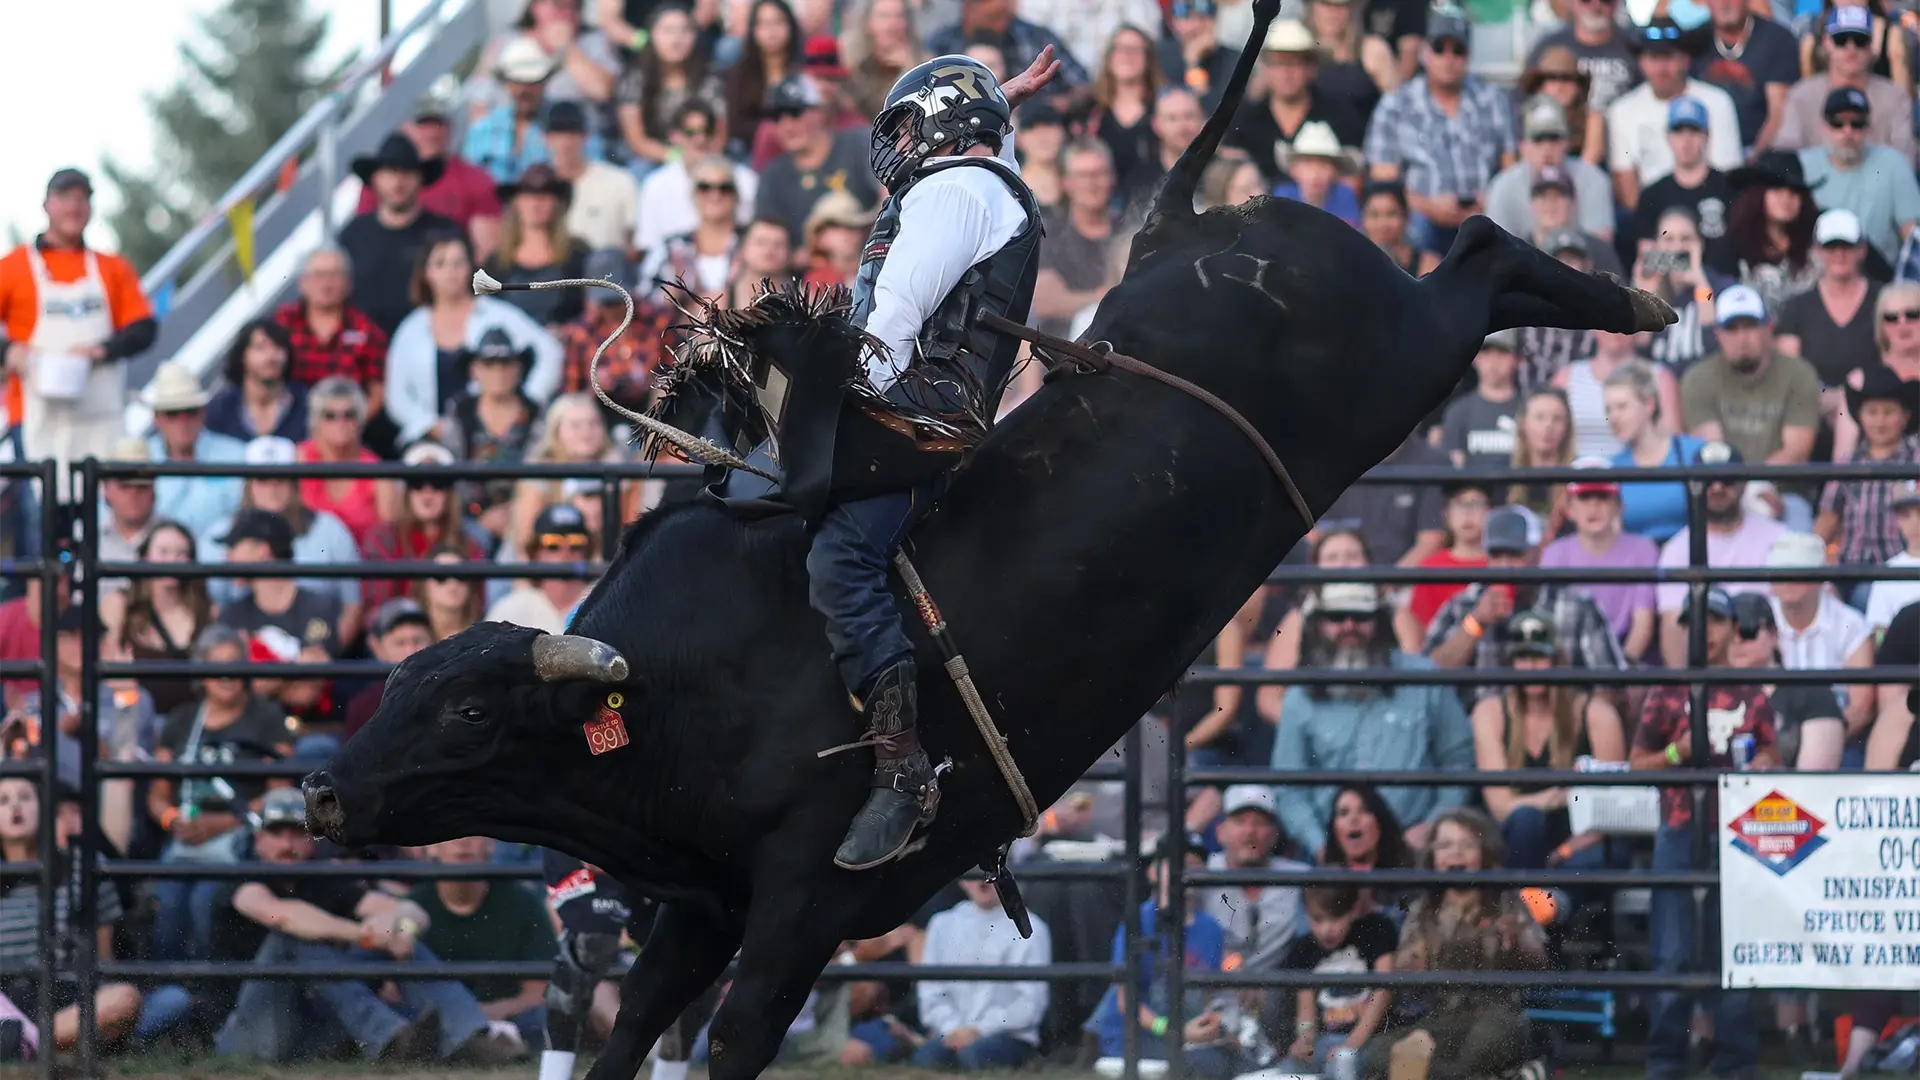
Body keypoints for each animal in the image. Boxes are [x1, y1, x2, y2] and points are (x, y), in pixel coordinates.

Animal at [299, 6, 1666, 1068]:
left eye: (471, 709)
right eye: (400, 686)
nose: (320, 788)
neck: (679, 688)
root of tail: (1188, 230)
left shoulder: (799, 908)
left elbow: (731, 1040)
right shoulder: (699, 905)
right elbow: (629, 1027)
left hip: (1402, 361)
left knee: (1481, 252)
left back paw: (1634, 298)